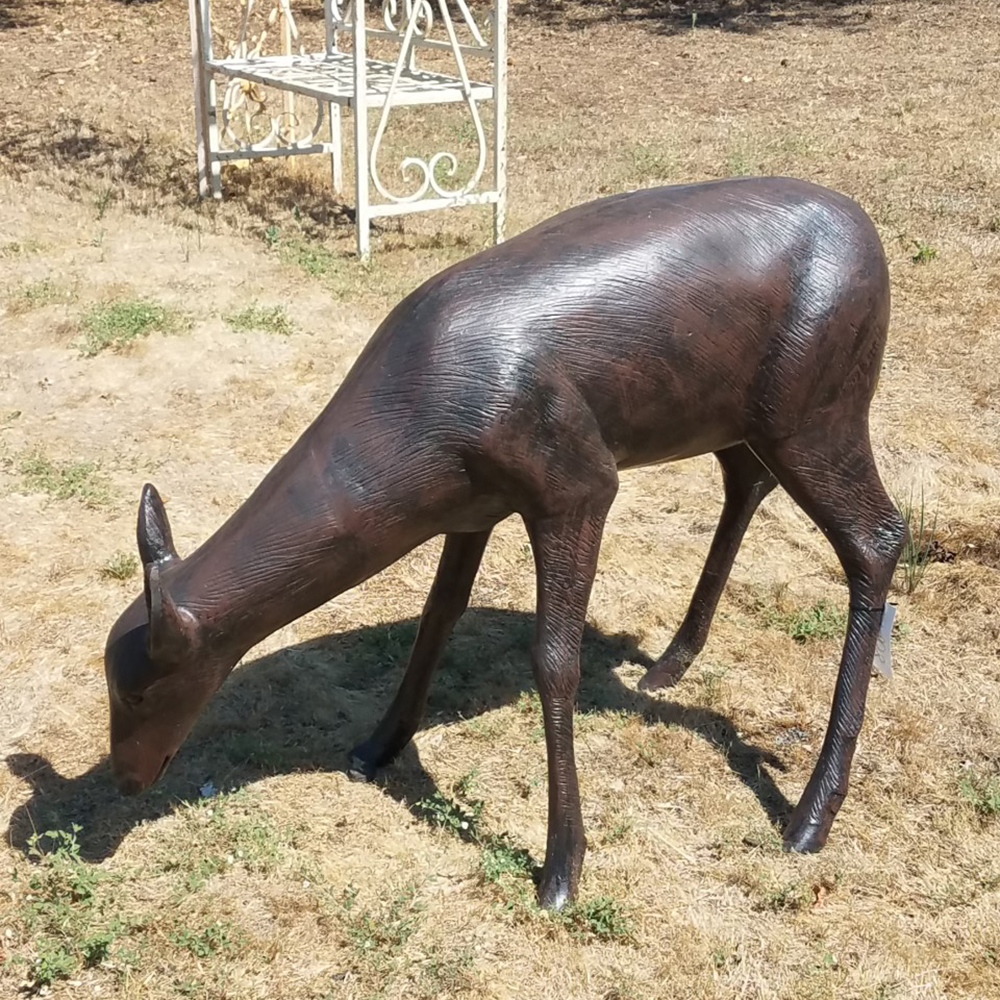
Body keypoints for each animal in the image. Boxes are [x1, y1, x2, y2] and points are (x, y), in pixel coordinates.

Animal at [104, 176, 905, 910]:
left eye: (138, 690)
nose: (123, 779)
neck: (421, 402)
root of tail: (869, 234)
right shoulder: (469, 507)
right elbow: (437, 617)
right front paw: (374, 748)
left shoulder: (577, 486)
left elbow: (554, 660)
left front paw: (560, 872)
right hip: (738, 418)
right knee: (745, 482)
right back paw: (668, 665)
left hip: (818, 413)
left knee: (878, 537)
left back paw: (808, 819)